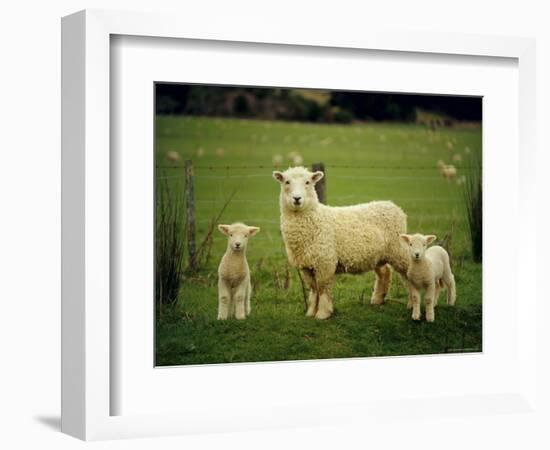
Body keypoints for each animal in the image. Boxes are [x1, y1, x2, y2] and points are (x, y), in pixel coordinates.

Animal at [274, 166, 412, 320]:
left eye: (308, 182)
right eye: (286, 182)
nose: (297, 198)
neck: (315, 218)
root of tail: (393, 205)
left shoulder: (325, 262)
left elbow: (322, 288)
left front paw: (322, 314)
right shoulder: (306, 265)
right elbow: (314, 289)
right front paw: (311, 312)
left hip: (398, 249)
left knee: (410, 273)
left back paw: (413, 304)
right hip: (379, 254)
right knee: (385, 272)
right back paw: (377, 299)